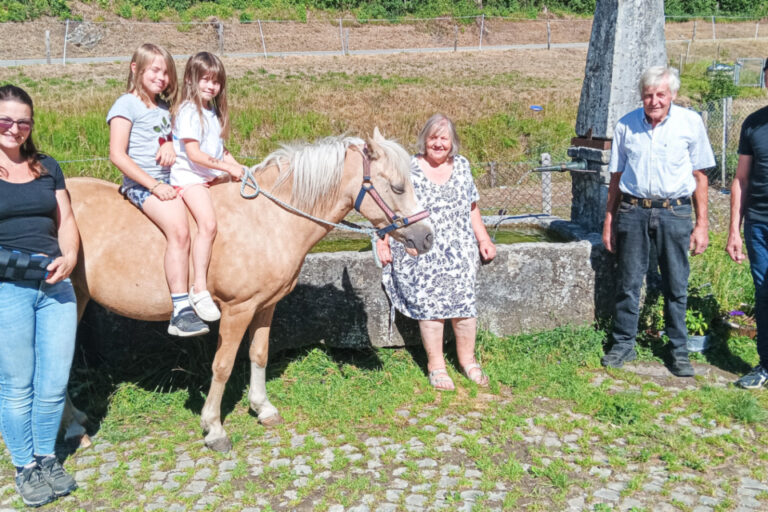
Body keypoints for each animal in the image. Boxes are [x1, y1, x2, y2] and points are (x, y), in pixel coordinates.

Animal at [62, 129, 433, 452]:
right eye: (397, 186)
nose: (426, 237)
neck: (268, 217)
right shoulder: (236, 309)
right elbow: (223, 366)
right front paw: (213, 428)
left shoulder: (265, 306)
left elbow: (259, 354)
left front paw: (263, 408)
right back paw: (73, 429)